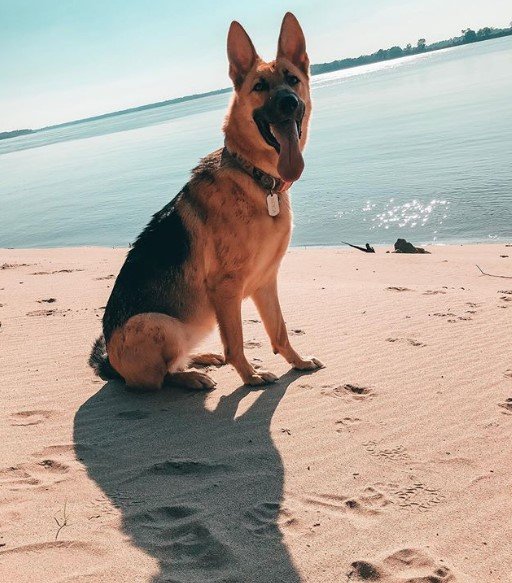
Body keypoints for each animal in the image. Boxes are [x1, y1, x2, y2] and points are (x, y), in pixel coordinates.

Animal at [89, 11, 324, 390]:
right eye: (260, 86)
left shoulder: (265, 283)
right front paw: (250, 376)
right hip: (159, 324)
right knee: (158, 378)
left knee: (179, 359)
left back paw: (200, 358)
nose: (288, 101)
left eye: (293, 79)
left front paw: (297, 361)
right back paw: (190, 377)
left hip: (195, 324)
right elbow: (237, 343)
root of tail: (111, 362)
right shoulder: (226, 290)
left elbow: (279, 331)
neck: (256, 178)